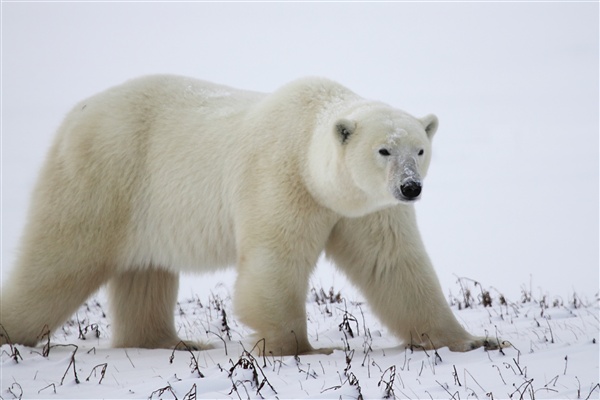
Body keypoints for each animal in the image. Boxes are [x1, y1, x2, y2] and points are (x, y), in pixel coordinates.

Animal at [0, 76, 496, 354]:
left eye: (420, 149)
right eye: (383, 150)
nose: (410, 187)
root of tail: (74, 117)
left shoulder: (365, 207)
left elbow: (394, 266)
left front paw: (473, 340)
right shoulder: (281, 178)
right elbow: (276, 261)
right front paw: (299, 349)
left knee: (145, 273)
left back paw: (172, 341)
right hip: (106, 175)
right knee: (58, 262)